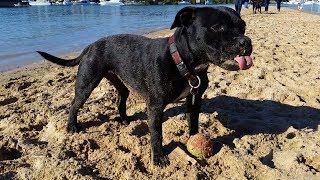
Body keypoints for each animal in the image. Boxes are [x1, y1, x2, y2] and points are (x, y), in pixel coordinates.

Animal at [37, 6, 252, 167]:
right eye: (217, 27)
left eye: (243, 27)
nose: (246, 41)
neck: (182, 61)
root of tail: (90, 45)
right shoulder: (155, 106)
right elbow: (157, 134)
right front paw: (158, 158)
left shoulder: (194, 99)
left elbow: (193, 122)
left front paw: (193, 139)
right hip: (87, 83)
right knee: (75, 104)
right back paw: (71, 126)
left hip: (120, 82)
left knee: (120, 98)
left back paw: (124, 119)